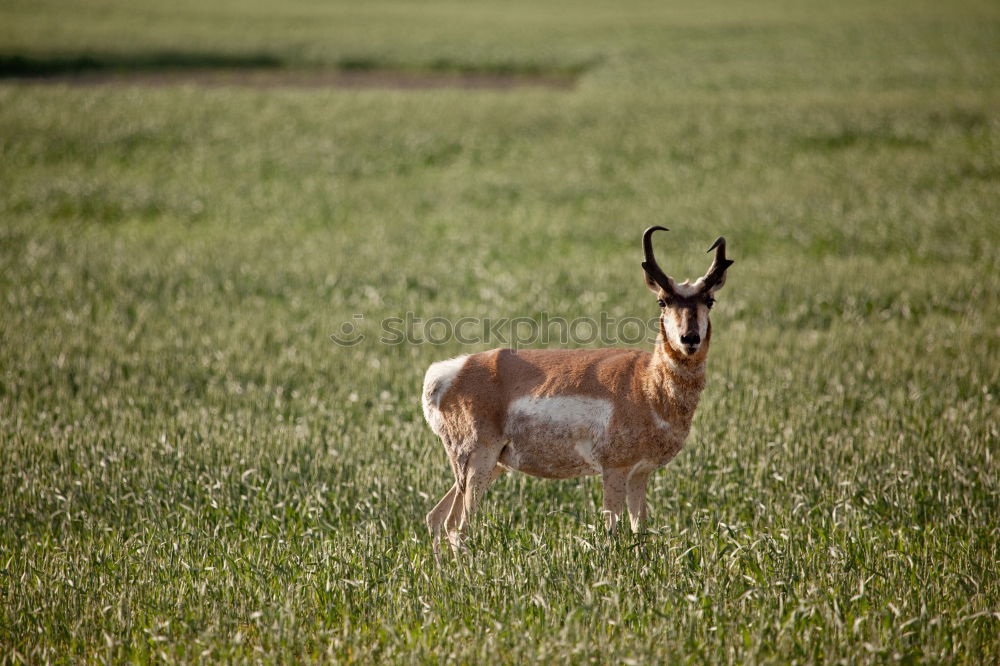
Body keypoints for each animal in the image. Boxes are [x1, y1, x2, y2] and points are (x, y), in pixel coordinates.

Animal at [418, 226, 732, 548]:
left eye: (709, 300)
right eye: (663, 301)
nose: (689, 339)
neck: (645, 382)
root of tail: (448, 372)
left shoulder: (640, 474)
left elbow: (640, 532)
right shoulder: (614, 470)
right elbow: (612, 530)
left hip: (491, 466)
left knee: (435, 517)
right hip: (478, 461)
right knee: (456, 525)